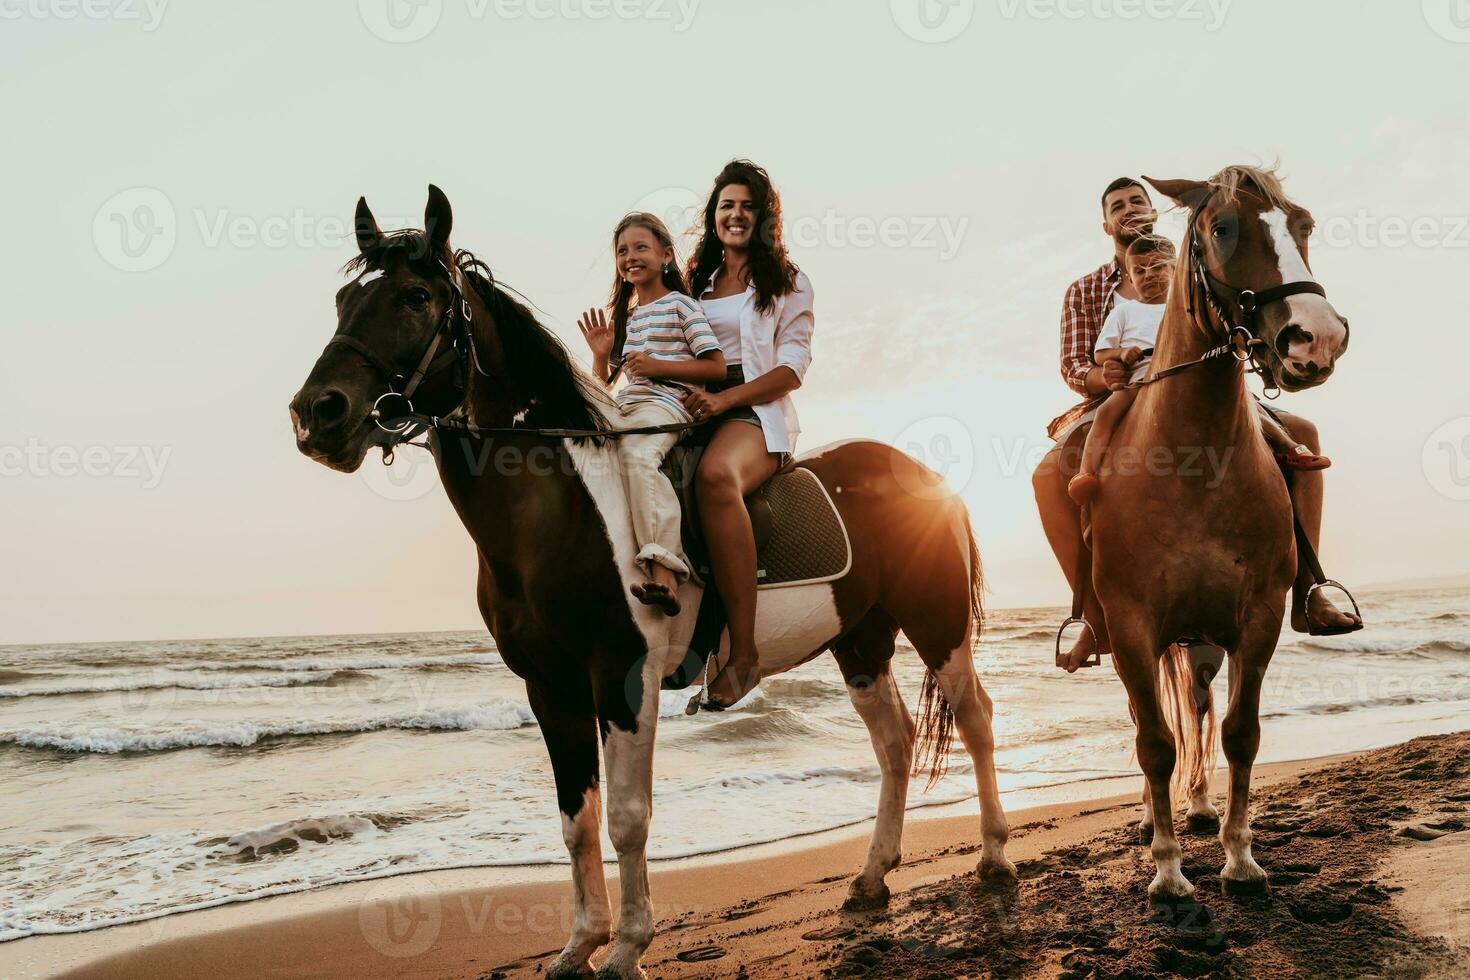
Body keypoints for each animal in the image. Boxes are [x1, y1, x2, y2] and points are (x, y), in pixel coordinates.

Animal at [292, 188, 1017, 975]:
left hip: (937, 623)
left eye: (416, 297)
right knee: (895, 742)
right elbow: (576, 820)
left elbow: (627, 819)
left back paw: (994, 859)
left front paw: (629, 947)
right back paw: (872, 877)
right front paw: (580, 944)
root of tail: (925, 475)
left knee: (975, 719)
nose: (316, 415)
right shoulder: (550, 687)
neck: (557, 507)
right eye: (342, 301)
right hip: (860, 639)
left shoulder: (623, 676)